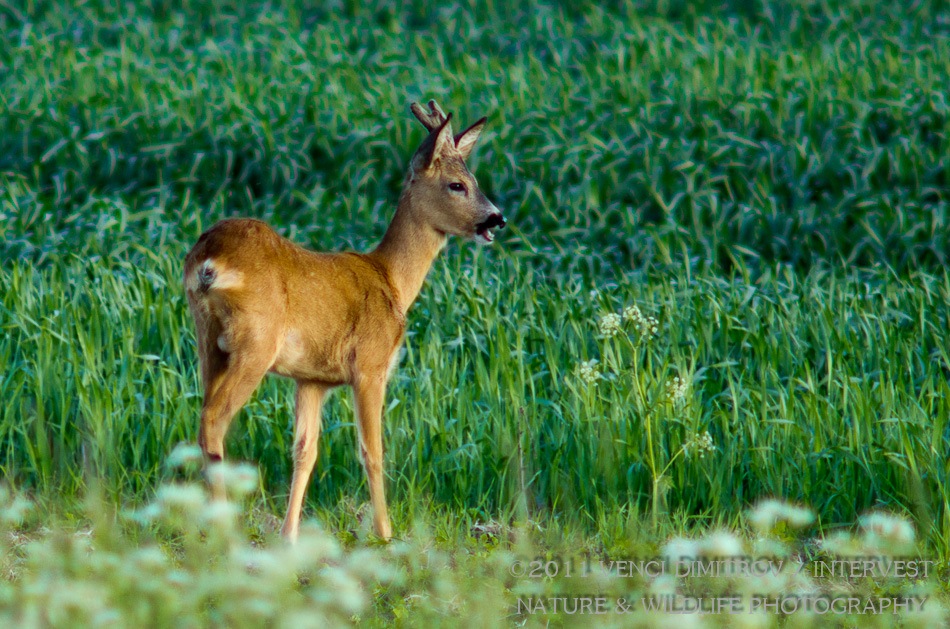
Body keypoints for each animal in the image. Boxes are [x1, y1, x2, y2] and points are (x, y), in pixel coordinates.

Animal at [180, 99, 506, 540]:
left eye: (474, 179)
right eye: (458, 185)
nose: (496, 218)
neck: (392, 280)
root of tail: (208, 259)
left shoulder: (312, 379)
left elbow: (305, 451)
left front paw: (289, 534)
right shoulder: (370, 364)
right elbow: (373, 450)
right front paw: (385, 534)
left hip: (207, 339)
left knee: (203, 418)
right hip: (255, 343)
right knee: (213, 421)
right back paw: (222, 525)